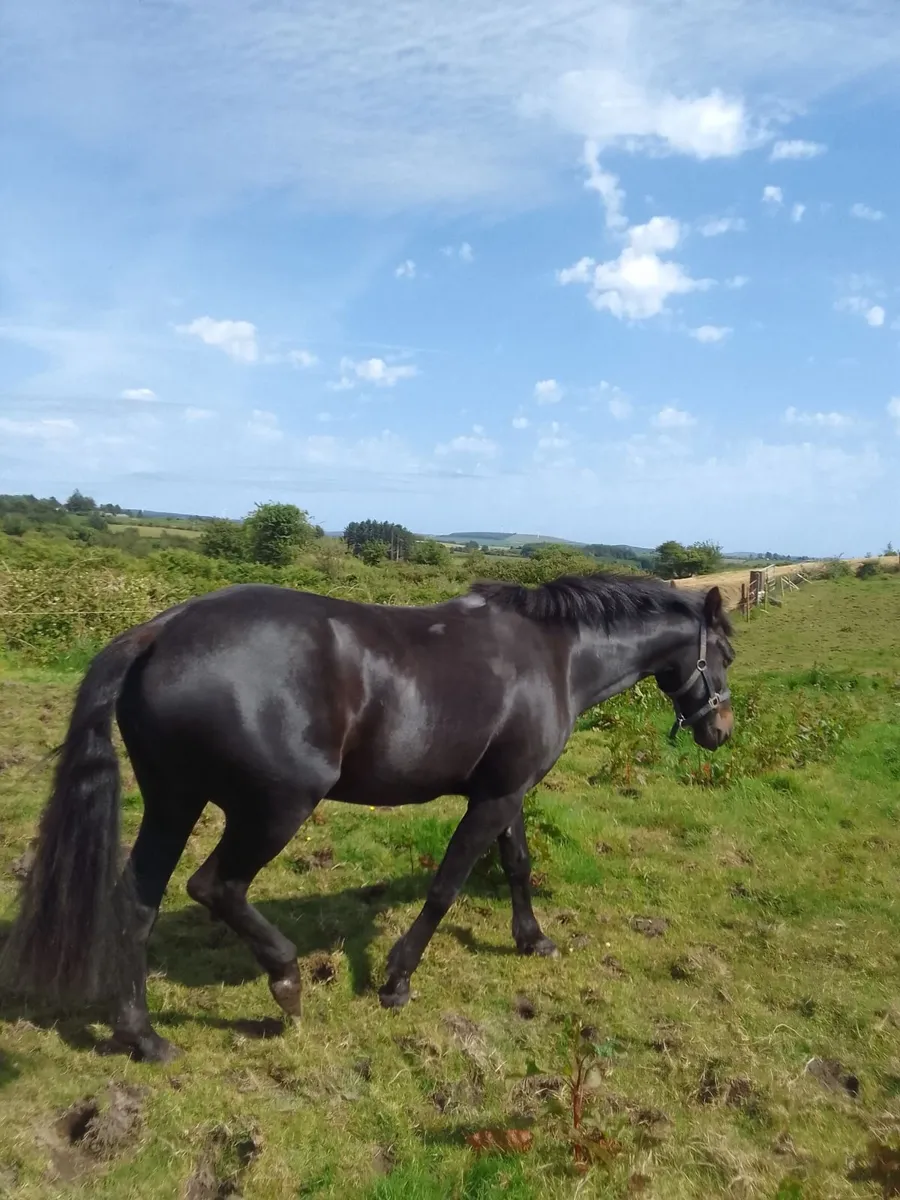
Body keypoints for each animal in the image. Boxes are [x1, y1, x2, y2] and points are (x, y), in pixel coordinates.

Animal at [1, 572, 734, 1062]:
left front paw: (532, 939)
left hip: (172, 804)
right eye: (724, 654)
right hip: (274, 808)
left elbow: (518, 863)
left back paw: (143, 1037)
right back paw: (286, 983)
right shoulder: (493, 798)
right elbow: (446, 885)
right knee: (215, 886)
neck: (554, 654)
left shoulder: (508, 791)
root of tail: (162, 631)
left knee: (136, 903)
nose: (720, 731)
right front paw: (397, 978)